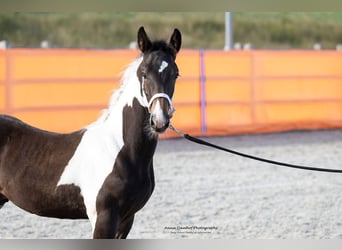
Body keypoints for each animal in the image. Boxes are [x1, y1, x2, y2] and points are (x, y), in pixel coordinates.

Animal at [0, 26, 182, 239]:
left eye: (176, 74)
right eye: (143, 73)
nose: (159, 120)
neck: (120, 150)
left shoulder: (127, 219)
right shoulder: (104, 217)